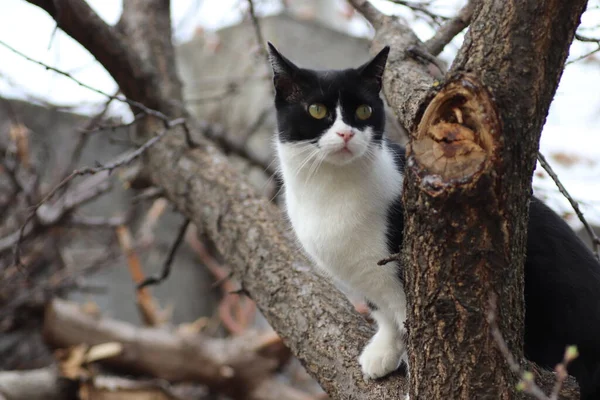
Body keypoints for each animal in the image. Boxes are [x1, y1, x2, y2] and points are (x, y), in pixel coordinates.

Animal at [270, 42, 600, 398]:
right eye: (317, 110)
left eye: (364, 111)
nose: (345, 134)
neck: (331, 191)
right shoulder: (366, 279)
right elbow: (383, 315)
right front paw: (382, 351)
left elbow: (411, 331)